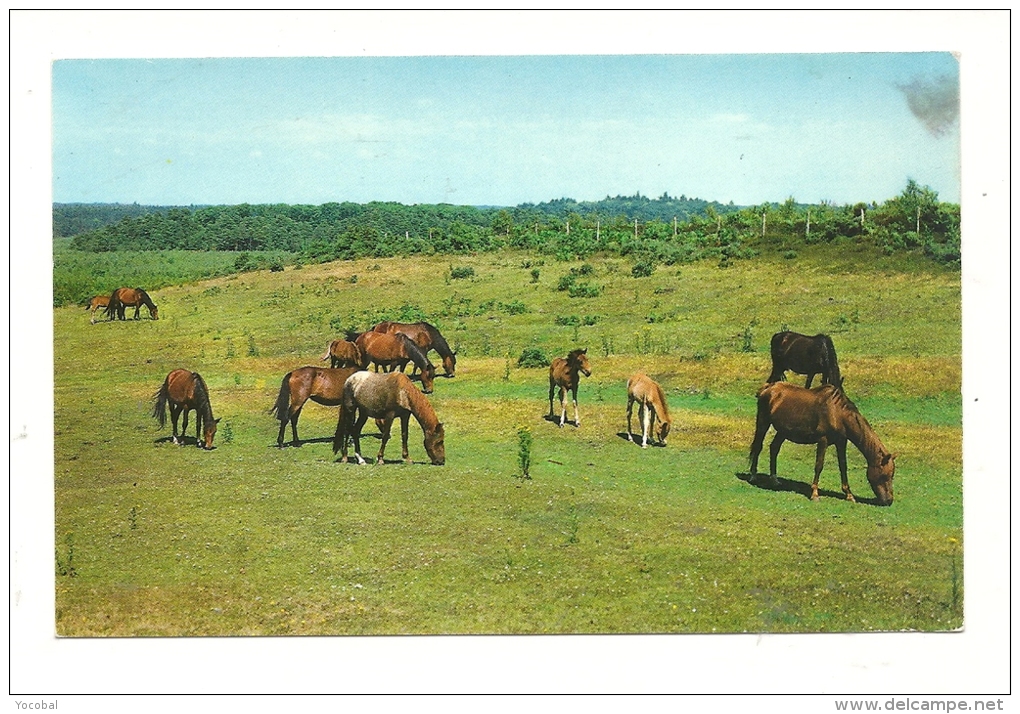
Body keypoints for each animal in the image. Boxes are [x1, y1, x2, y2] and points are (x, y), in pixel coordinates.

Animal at [746, 381, 897, 503]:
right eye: (885, 475)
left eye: (892, 475)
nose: (889, 500)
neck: (837, 413)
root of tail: (768, 387)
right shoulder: (823, 440)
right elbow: (819, 465)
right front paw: (815, 494)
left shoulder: (841, 442)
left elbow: (843, 466)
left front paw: (849, 495)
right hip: (763, 422)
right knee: (758, 447)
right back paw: (753, 476)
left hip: (783, 431)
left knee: (774, 448)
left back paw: (774, 479)